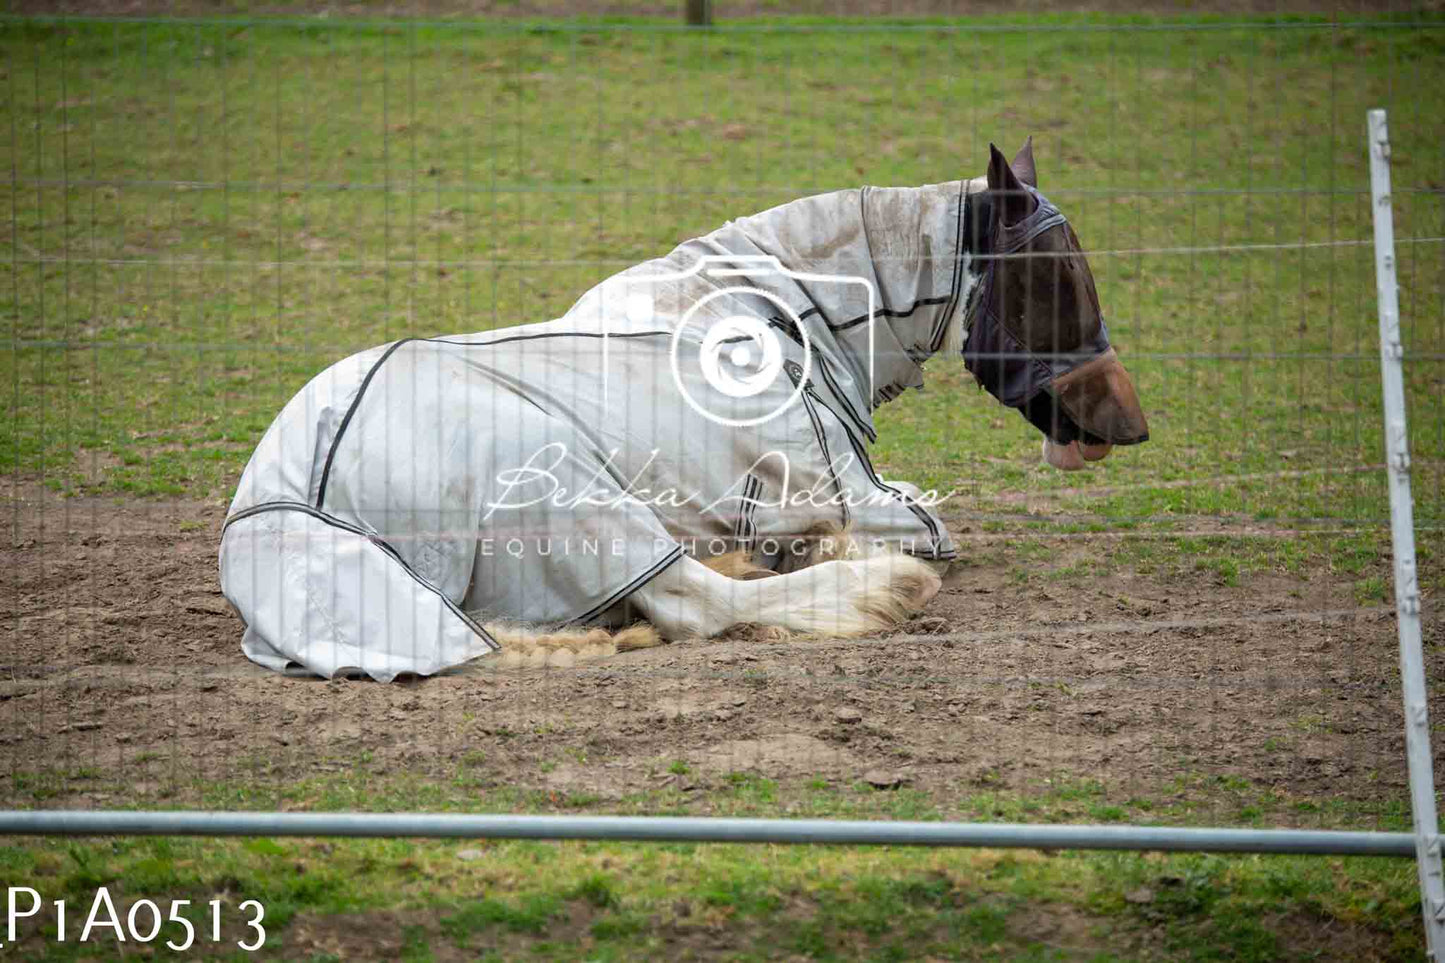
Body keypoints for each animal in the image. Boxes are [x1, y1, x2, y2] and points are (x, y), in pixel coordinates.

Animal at [222, 140, 1150, 682]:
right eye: (1052, 275)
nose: (1131, 428)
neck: (781, 313)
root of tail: (290, 501)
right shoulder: (853, 493)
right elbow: (930, 528)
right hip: (570, 488)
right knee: (695, 603)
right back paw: (869, 587)